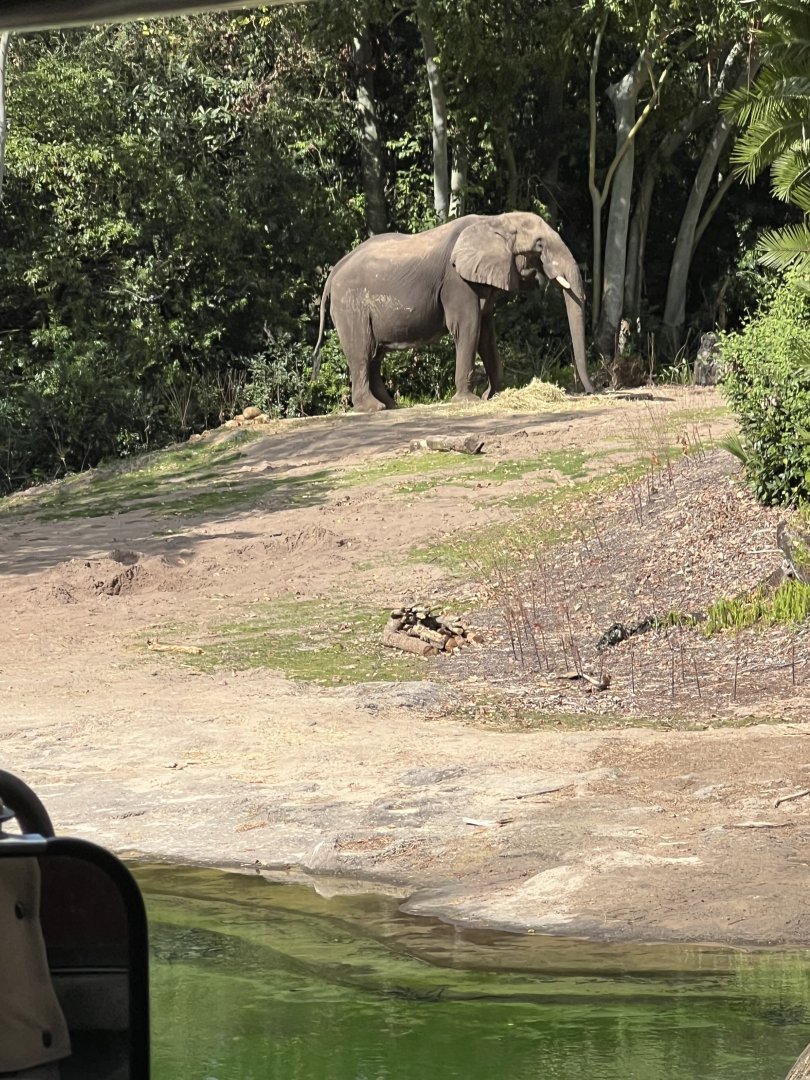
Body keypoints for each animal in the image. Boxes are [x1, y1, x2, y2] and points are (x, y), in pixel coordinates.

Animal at [312, 211, 594, 412]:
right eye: (539, 245)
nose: (592, 391)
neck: (495, 220)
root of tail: (333, 273)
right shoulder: (456, 281)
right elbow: (468, 327)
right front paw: (471, 401)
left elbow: (486, 335)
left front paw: (494, 396)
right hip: (351, 306)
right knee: (361, 351)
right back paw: (372, 408)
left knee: (374, 355)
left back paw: (391, 406)